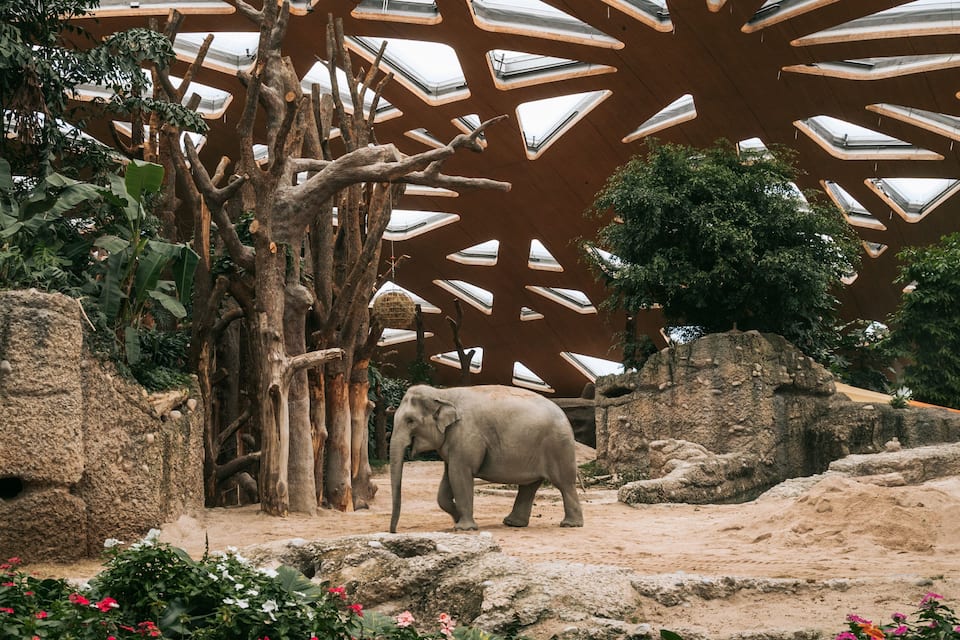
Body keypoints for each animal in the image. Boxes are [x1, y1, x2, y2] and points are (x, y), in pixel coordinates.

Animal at [389, 384, 584, 532]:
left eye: (410, 421)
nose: (393, 531)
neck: (442, 393)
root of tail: (565, 416)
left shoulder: (466, 435)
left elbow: (459, 475)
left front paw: (464, 528)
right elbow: (446, 483)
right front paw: (457, 519)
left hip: (558, 445)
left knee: (564, 484)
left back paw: (570, 525)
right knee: (529, 486)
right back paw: (513, 523)